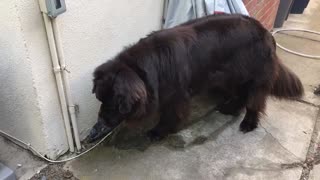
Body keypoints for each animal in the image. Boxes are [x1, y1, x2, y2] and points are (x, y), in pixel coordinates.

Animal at [89, 13, 304, 141]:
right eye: (100, 99)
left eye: (114, 103)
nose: (99, 122)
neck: (143, 68)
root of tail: (265, 31)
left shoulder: (176, 95)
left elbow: (170, 114)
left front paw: (159, 131)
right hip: (232, 75)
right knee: (241, 94)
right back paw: (230, 108)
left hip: (255, 76)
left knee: (254, 100)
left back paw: (248, 123)